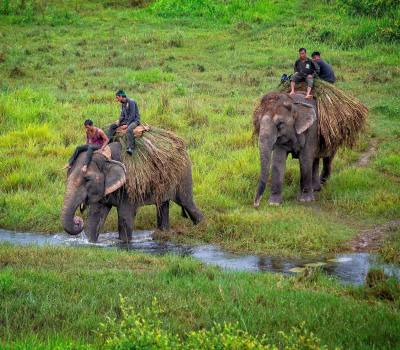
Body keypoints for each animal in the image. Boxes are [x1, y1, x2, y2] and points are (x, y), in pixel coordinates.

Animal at [61, 141, 203, 242]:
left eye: (87, 179)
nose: (78, 220)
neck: (107, 157)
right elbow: (95, 215)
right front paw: (91, 242)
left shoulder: (129, 185)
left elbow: (125, 215)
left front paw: (124, 243)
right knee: (163, 205)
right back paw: (163, 234)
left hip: (183, 175)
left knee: (186, 202)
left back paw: (201, 227)